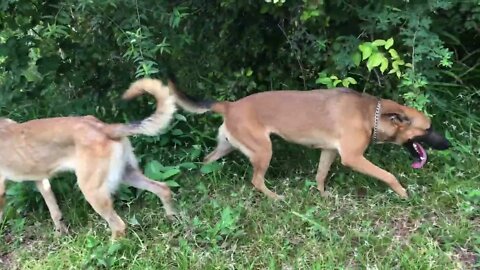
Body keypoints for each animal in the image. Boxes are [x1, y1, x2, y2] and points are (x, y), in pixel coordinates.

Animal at [0, 78, 176, 238]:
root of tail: (103, 127)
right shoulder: (42, 181)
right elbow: (54, 211)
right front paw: (61, 234)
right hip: (127, 174)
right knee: (163, 188)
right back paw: (172, 219)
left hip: (92, 190)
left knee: (119, 226)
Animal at [169, 82, 450, 200]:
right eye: (428, 128)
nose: (448, 145)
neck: (371, 113)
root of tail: (229, 106)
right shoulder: (353, 158)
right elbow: (388, 175)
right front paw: (402, 193)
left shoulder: (329, 151)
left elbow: (320, 175)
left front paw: (323, 195)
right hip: (263, 150)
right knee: (256, 180)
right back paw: (275, 198)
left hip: (227, 145)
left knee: (207, 160)